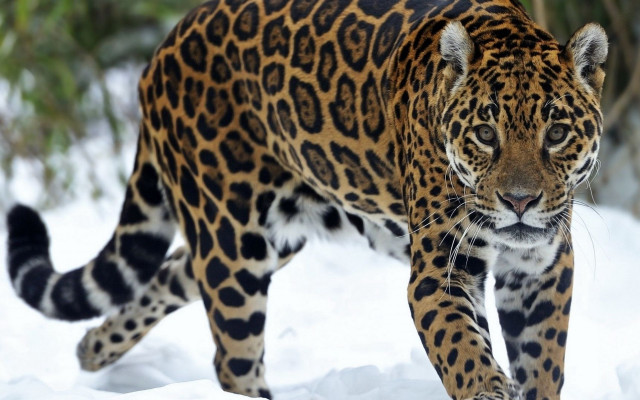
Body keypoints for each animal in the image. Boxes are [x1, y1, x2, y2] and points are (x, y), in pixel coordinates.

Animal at [6, 0, 608, 399]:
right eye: (485, 134)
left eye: (556, 133)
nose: (520, 202)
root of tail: (163, 47)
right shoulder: (442, 270)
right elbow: (464, 351)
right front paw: (488, 387)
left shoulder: (541, 269)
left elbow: (542, 362)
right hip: (233, 244)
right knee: (234, 358)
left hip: (266, 237)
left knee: (168, 273)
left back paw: (93, 348)